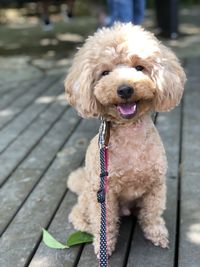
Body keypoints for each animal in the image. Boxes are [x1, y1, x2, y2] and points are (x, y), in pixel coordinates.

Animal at [64, 23, 186, 258]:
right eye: (104, 72)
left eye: (139, 67)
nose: (125, 89)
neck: (131, 134)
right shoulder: (105, 194)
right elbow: (106, 223)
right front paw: (104, 246)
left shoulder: (156, 186)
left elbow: (152, 213)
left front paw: (157, 235)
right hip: (89, 195)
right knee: (78, 214)